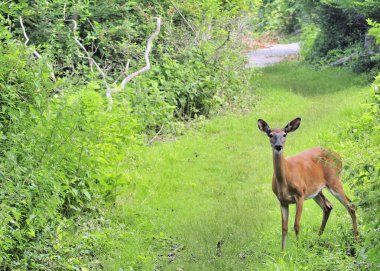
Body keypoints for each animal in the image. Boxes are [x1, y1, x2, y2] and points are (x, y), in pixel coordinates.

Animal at [256, 118, 358, 252]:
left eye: (284, 134)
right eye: (270, 135)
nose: (278, 146)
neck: (285, 180)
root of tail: (339, 155)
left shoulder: (300, 194)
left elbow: (296, 225)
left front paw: (298, 250)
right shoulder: (282, 201)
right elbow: (284, 227)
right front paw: (282, 252)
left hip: (334, 181)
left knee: (351, 206)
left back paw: (356, 241)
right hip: (316, 190)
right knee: (328, 206)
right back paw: (318, 240)